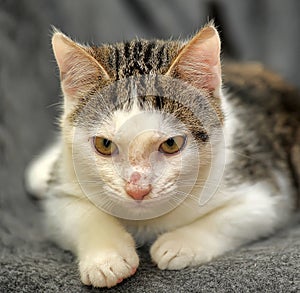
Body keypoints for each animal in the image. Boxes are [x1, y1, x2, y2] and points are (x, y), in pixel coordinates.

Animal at [25, 23, 300, 288]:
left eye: (170, 144)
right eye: (104, 144)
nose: (137, 189)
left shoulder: (266, 189)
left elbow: (238, 217)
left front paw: (180, 243)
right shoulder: (62, 191)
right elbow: (78, 213)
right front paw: (107, 258)